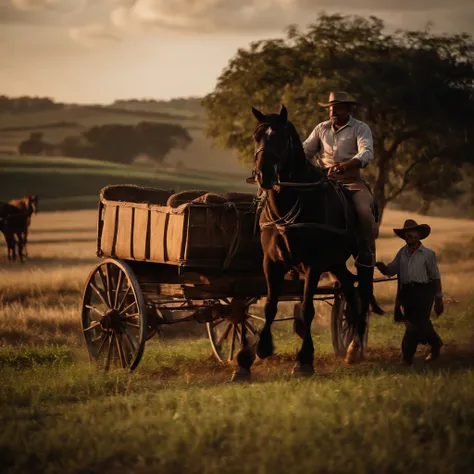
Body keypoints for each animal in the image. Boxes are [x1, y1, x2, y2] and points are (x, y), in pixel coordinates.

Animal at [232, 105, 374, 380]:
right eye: (256, 137)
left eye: (280, 138)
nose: (263, 175)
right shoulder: (271, 263)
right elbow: (270, 306)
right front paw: (258, 351)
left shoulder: (313, 265)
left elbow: (307, 309)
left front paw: (304, 360)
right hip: (336, 263)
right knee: (349, 291)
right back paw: (352, 346)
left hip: (358, 256)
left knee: (361, 290)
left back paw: (356, 345)